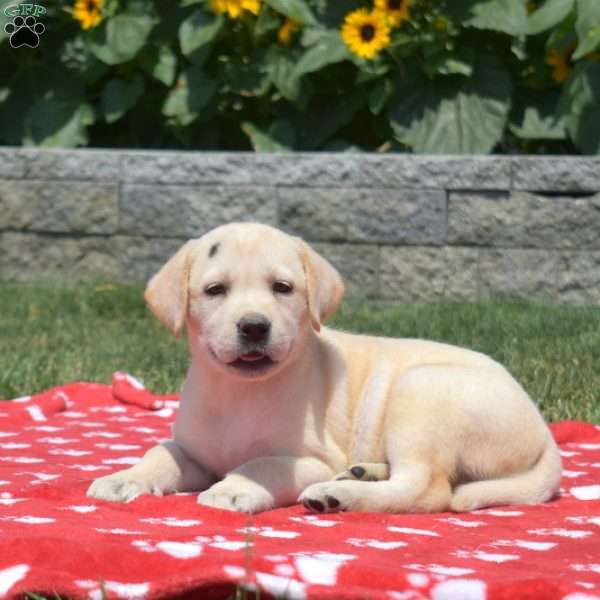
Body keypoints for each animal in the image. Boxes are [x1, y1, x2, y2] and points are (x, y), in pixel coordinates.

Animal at [86, 223, 560, 512]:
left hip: (419, 390)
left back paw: (338, 493)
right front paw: (124, 478)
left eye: (282, 288)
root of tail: (544, 432)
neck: (241, 393)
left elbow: (261, 464)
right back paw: (363, 473)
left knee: (426, 488)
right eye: (215, 290)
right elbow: (160, 453)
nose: (254, 326)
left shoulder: (314, 457)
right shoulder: (194, 451)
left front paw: (233, 489)